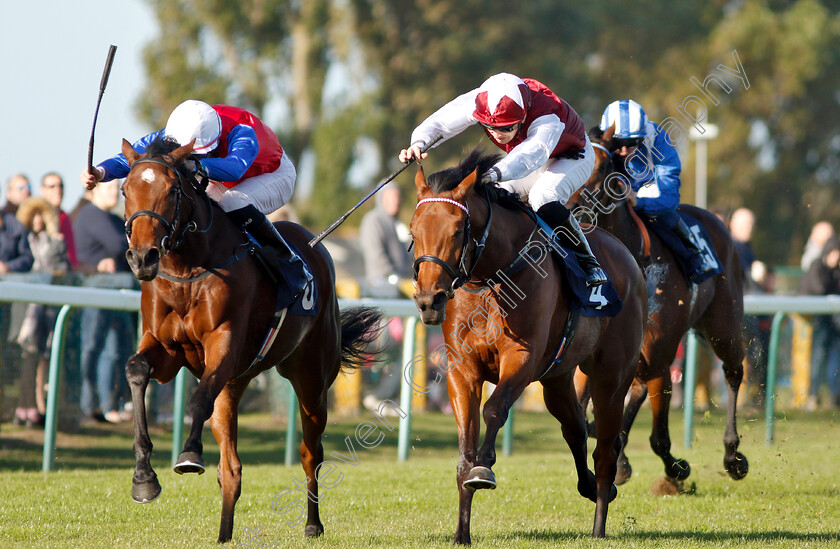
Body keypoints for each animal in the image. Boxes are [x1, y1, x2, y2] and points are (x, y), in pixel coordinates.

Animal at [118, 138, 380, 544]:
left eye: (173, 190)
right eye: (125, 190)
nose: (142, 256)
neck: (187, 268)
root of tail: (317, 246)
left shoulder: (224, 346)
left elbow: (197, 400)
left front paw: (189, 455)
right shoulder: (165, 348)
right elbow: (135, 370)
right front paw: (144, 478)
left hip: (311, 379)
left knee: (311, 452)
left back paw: (313, 524)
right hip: (234, 385)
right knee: (232, 469)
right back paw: (224, 535)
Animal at [410, 148, 648, 536]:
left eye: (458, 230)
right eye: (414, 232)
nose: (430, 301)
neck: (491, 277)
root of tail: (628, 258)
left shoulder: (521, 358)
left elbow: (494, 409)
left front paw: (484, 467)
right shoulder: (463, 369)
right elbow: (465, 445)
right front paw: (461, 533)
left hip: (612, 378)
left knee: (606, 450)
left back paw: (599, 523)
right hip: (557, 378)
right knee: (575, 428)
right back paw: (589, 485)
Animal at [572, 124, 748, 484]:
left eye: (601, 166)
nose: (574, 209)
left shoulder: (659, 358)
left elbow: (658, 437)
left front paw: (677, 469)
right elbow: (590, 412)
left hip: (723, 324)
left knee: (733, 372)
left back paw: (732, 455)